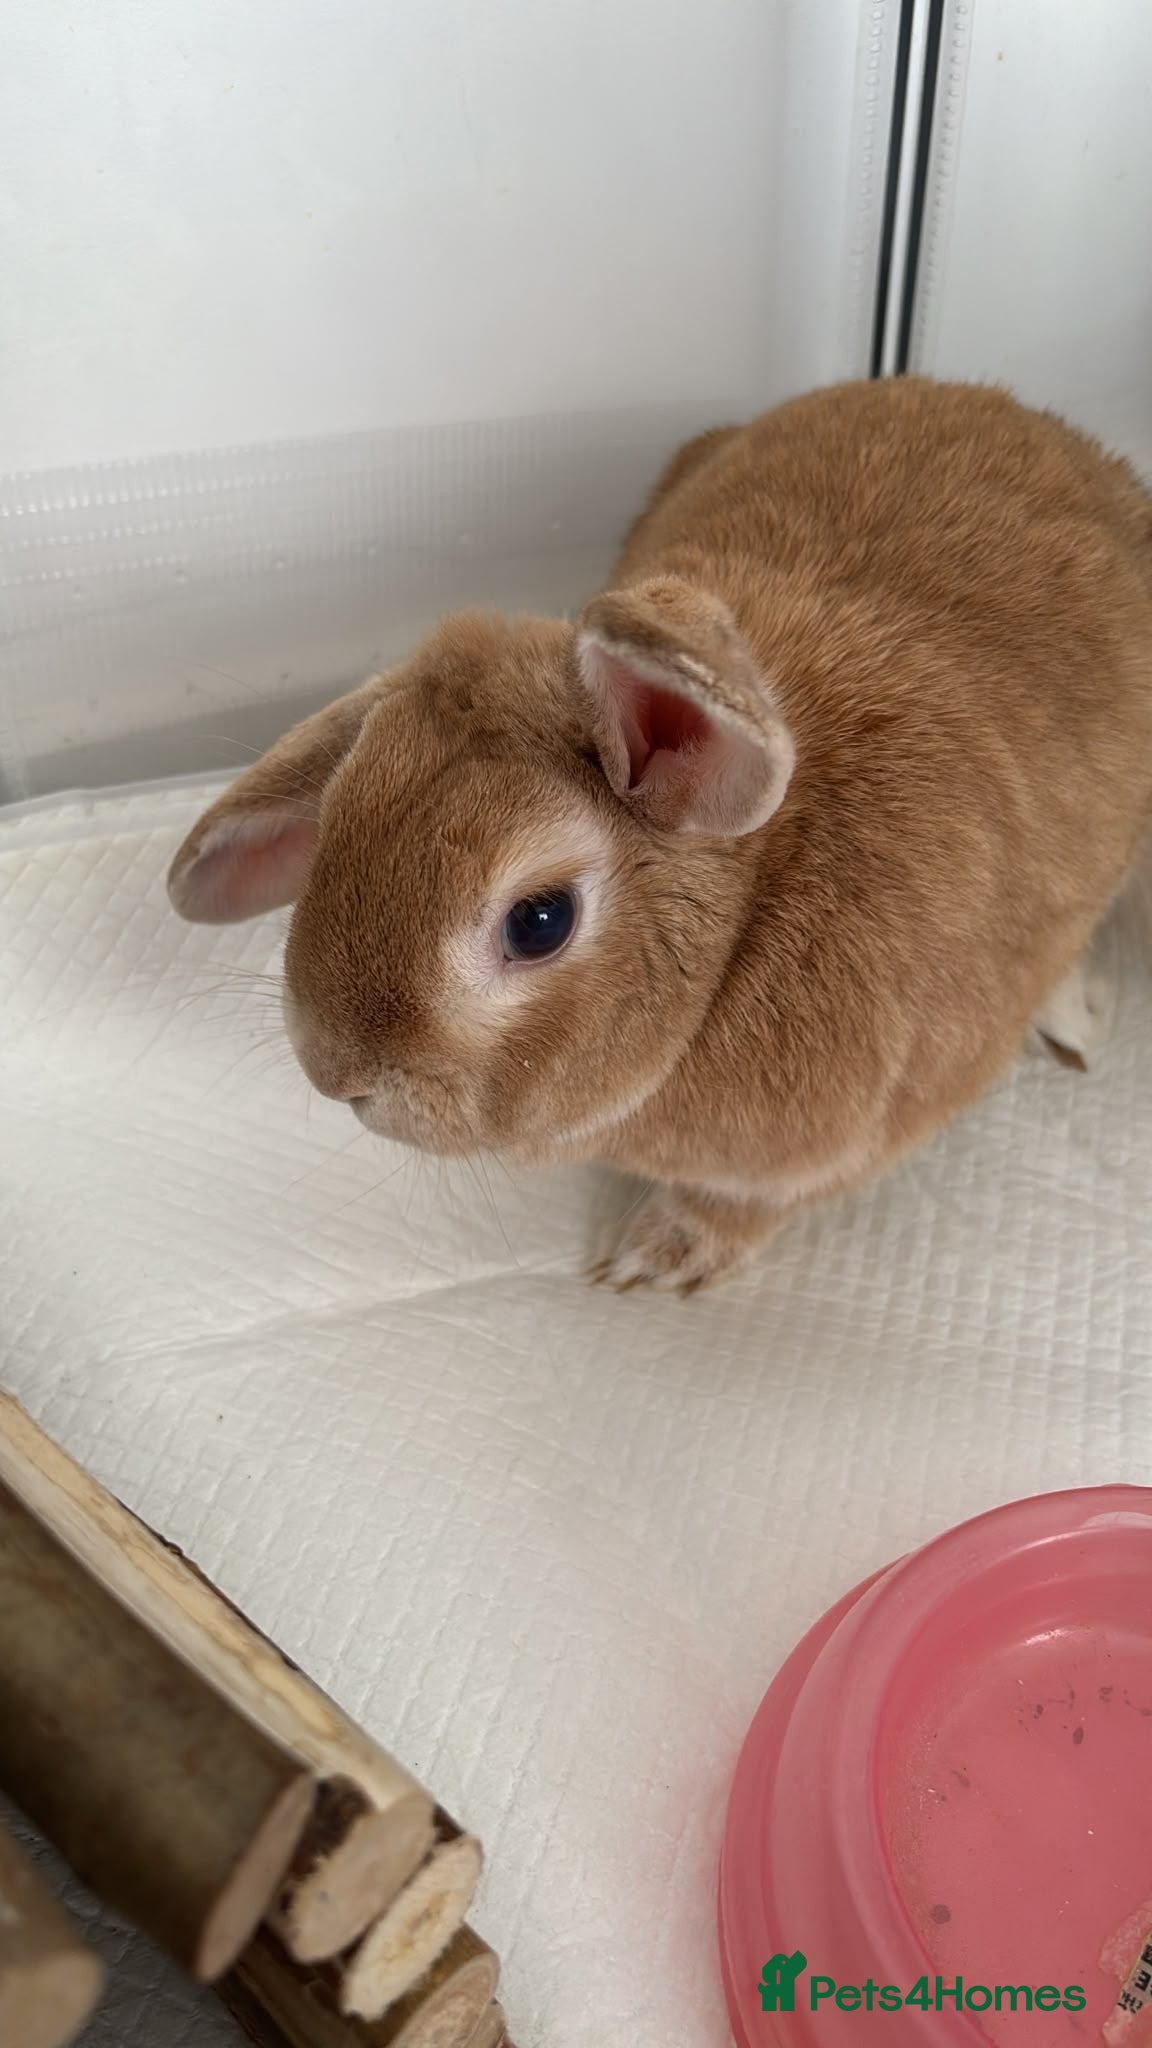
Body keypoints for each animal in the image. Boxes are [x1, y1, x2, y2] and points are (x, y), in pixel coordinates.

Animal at [168, 377, 1152, 1292]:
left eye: (540, 921)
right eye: (335, 821)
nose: (335, 1074)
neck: (748, 907)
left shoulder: (854, 1136)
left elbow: (746, 1207)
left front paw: (646, 1261)